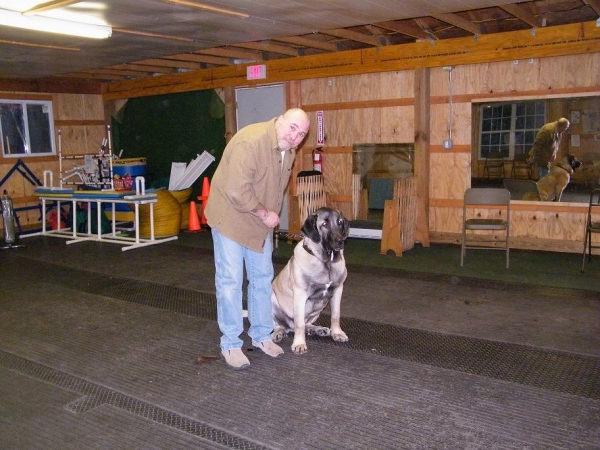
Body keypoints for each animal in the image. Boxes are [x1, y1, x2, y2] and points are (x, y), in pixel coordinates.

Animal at [270, 207, 350, 356]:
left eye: (340, 222)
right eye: (324, 224)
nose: (340, 242)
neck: (326, 262)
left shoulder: (338, 290)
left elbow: (336, 315)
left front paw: (337, 333)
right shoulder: (300, 294)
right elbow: (299, 323)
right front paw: (299, 343)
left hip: (317, 309)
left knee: (305, 323)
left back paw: (317, 329)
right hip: (271, 298)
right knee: (279, 324)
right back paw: (278, 332)